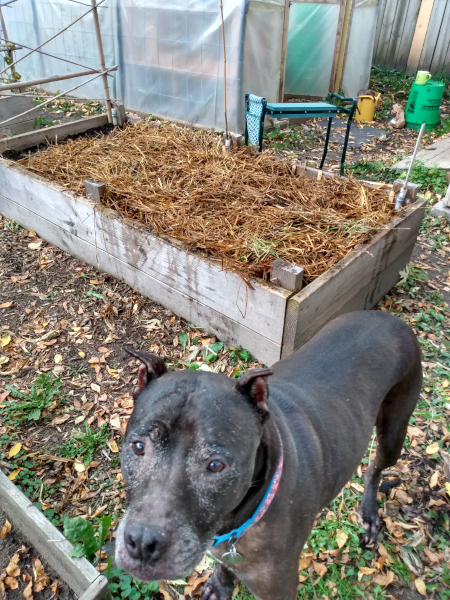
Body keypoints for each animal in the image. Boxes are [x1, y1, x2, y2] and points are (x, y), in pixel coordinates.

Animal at [115, 312, 422, 596]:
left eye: (215, 465)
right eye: (138, 447)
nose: (142, 542)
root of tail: (389, 317)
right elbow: (226, 566)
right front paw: (222, 585)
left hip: (394, 432)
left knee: (375, 467)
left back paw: (369, 513)